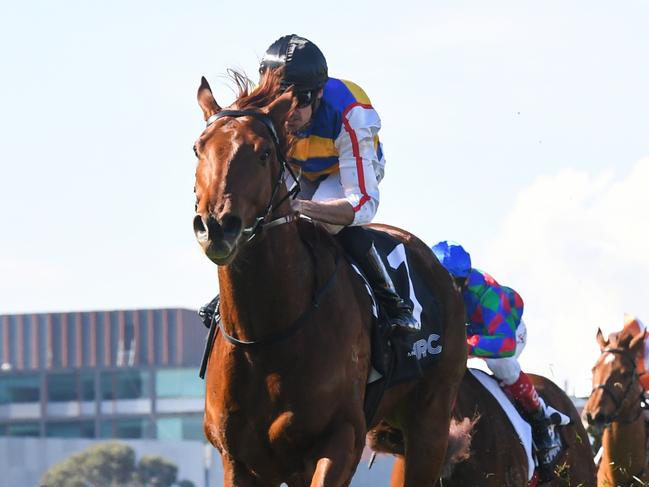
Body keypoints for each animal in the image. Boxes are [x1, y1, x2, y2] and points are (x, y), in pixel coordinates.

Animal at [192, 73, 466, 487]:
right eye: (198, 149)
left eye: (263, 153)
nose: (217, 227)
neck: (267, 337)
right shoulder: (239, 459)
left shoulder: (343, 438)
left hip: (429, 422)